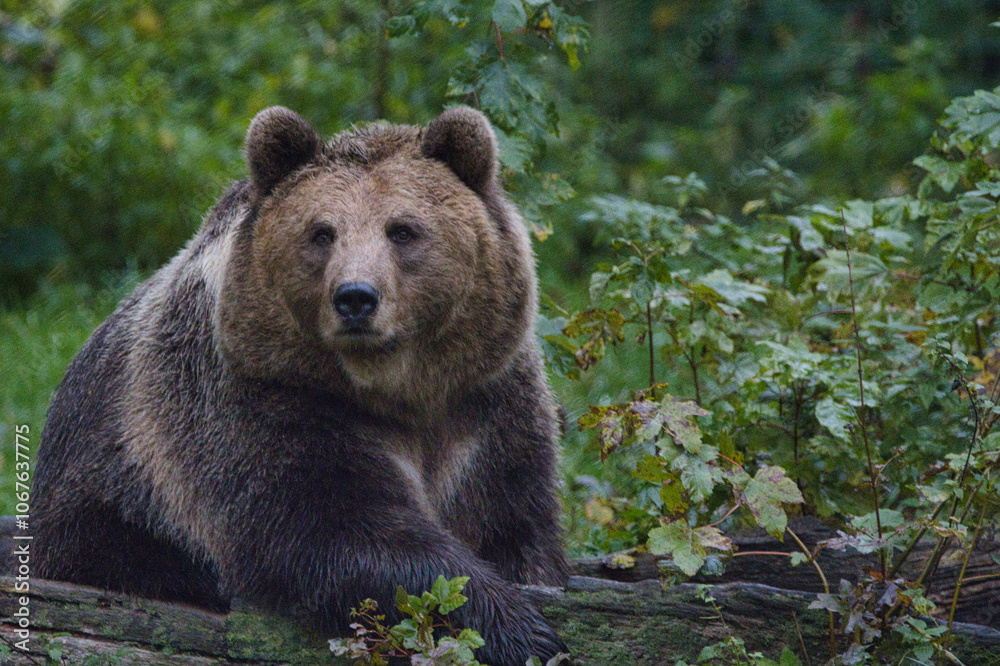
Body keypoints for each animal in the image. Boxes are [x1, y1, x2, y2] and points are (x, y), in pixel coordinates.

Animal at [30, 106, 569, 665]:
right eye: (322, 233)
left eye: (402, 230)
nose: (355, 297)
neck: (397, 390)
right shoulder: (261, 398)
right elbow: (332, 528)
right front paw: (519, 628)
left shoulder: (486, 406)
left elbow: (516, 525)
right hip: (108, 497)